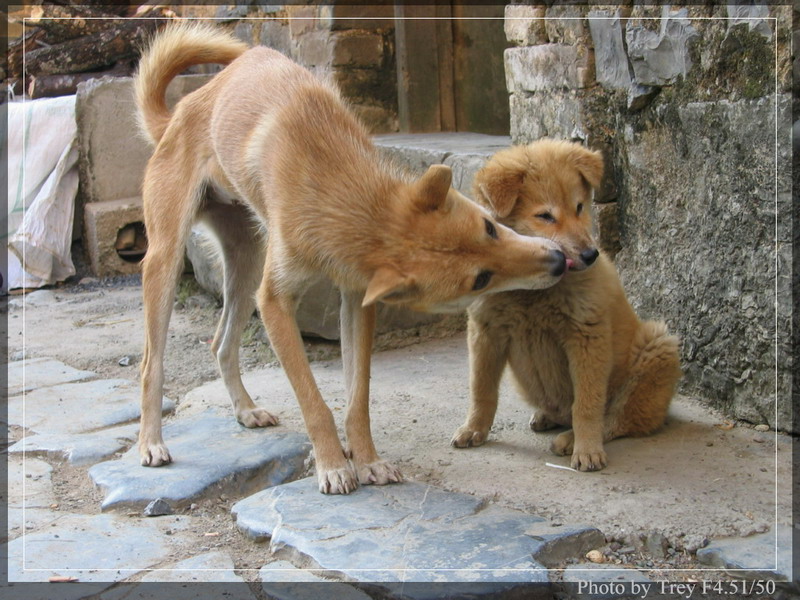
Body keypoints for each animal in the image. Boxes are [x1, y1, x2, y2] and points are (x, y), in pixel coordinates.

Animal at [134, 24, 568, 494]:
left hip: (245, 266)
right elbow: (313, 400)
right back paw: (150, 441)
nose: (560, 260)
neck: (342, 191)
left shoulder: (357, 301)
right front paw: (332, 463)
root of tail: (180, 112)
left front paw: (368, 459)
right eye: (481, 280)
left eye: (490, 228)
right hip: (167, 265)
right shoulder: (275, 303)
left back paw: (245, 409)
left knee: (221, 344)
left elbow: (358, 399)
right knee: (151, 365)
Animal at [451, 139, 682, 471]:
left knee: (618, 419)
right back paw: (547, 417)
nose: (590, 255)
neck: (533, 291)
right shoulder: (485, 331)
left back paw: (571, 439)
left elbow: (586, 404)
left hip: (658, 345)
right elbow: (481, 390)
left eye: (579, 207)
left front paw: (587, 450)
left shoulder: (586, 337)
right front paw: (474, 429)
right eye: (545, 216)